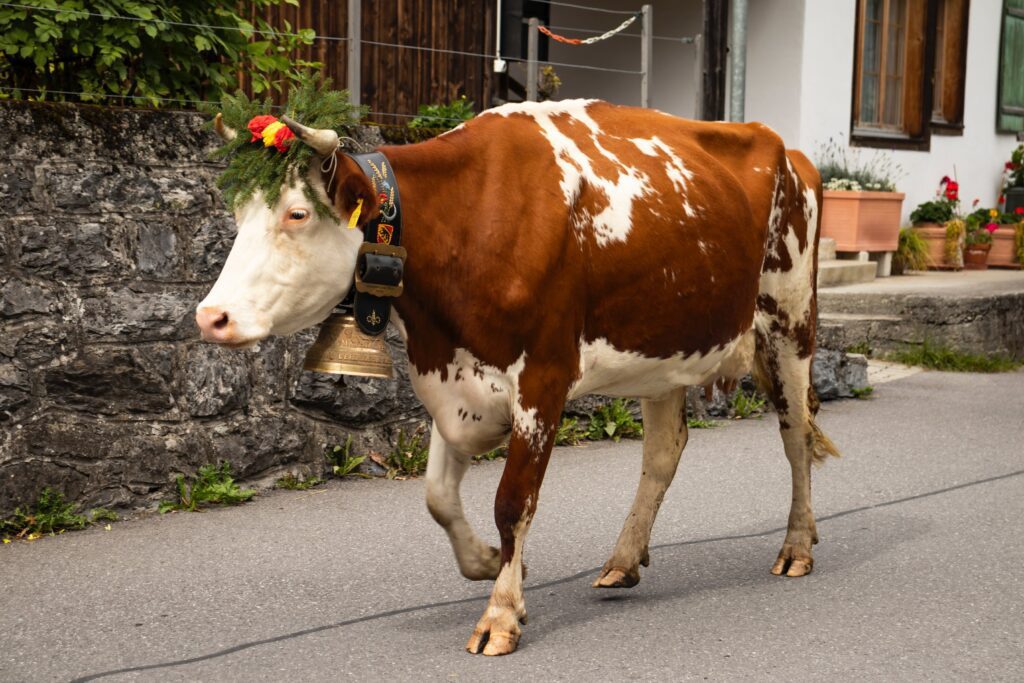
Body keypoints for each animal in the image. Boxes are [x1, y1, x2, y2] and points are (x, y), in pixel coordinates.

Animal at [195, 100, 835, 655]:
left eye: (297, 214)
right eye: (237, 215)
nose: (211, 316)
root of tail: (785, 147)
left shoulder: (543, 381)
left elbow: (512, 501)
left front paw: (500, 614)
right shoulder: (454, 380)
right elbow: (438, 497)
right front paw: (488, 563)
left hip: (789, 321)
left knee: (796, 436)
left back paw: (797, 546)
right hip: (667, 346)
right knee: (664, 451)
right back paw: (623, 561)